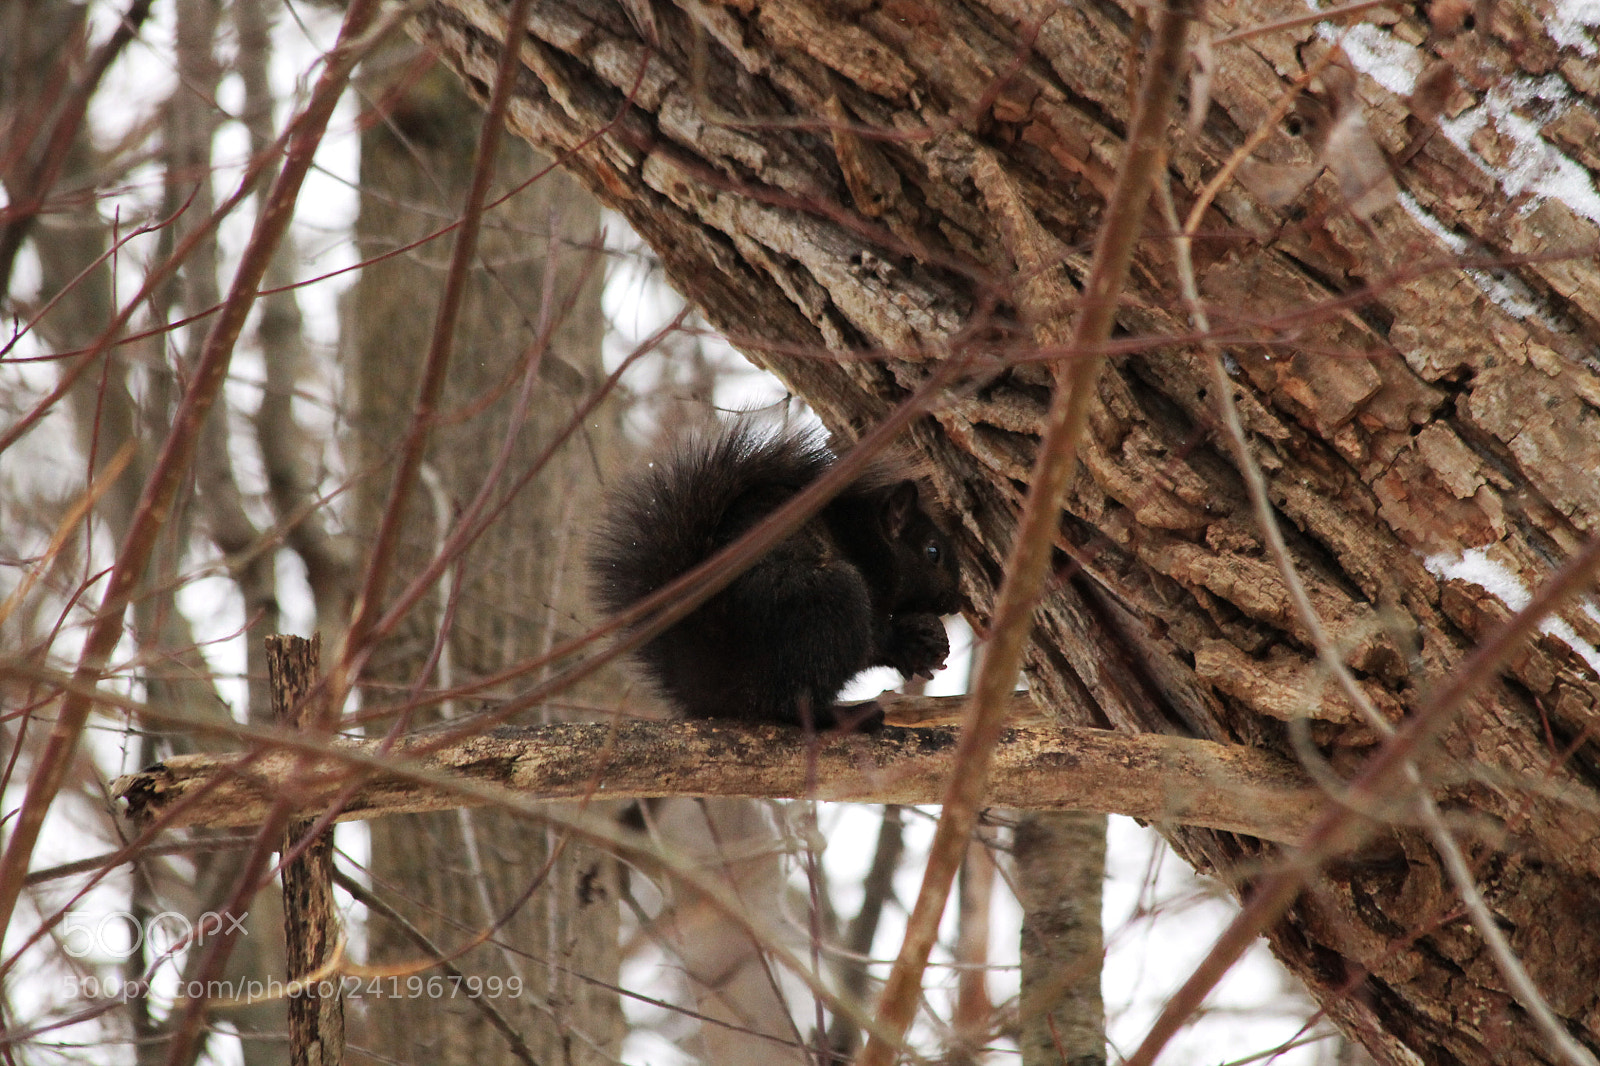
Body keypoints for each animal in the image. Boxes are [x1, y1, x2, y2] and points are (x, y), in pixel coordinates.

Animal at [588, 421, 962, 730]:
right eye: (933, 552)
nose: (957, 602)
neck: (866, 537)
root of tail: (719, 678)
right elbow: (875, 640)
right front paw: (909, 641)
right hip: (831, 601)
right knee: (792, 703)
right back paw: (851, 717)